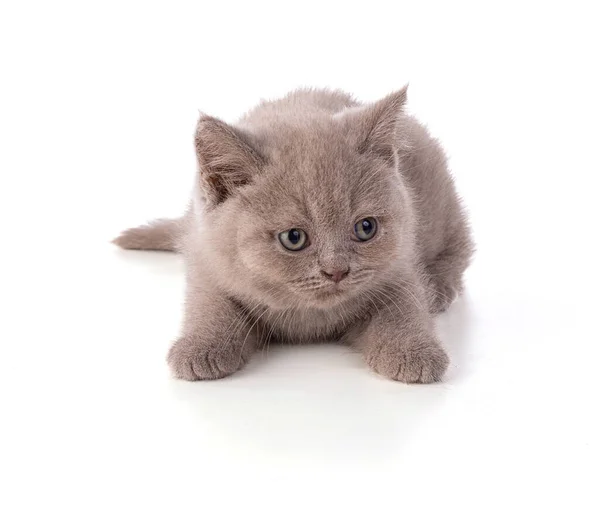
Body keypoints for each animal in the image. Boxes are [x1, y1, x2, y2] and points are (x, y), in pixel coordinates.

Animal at [113, 87, 474, 382]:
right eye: (293, 238)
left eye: (366, 228)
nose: (337, 271)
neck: (309, 317)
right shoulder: (205, 257)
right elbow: (211, 303)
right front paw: (199, 347)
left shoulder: (400, 267)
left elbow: (404, 308)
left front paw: (414, 352)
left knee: (460, 246)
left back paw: (440, 288)